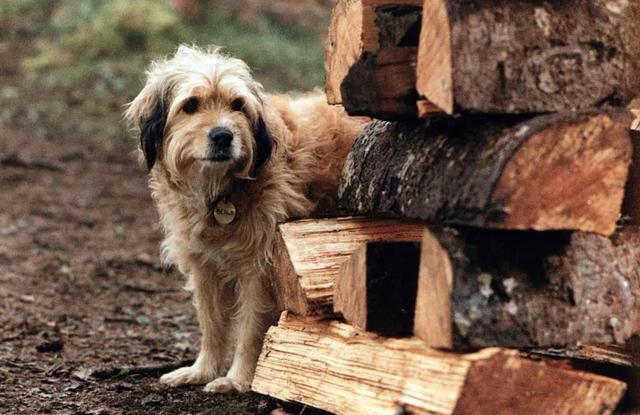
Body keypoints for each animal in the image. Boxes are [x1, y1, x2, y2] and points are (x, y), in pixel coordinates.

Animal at [125, 45, 364, 394]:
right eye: (191, 105)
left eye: (237, 104)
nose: (223, 136)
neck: (225, 189)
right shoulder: (205, 267)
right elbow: (211, 324)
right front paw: (202, 370)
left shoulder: (261, 269)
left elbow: (252, 329)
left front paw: (238, 379)